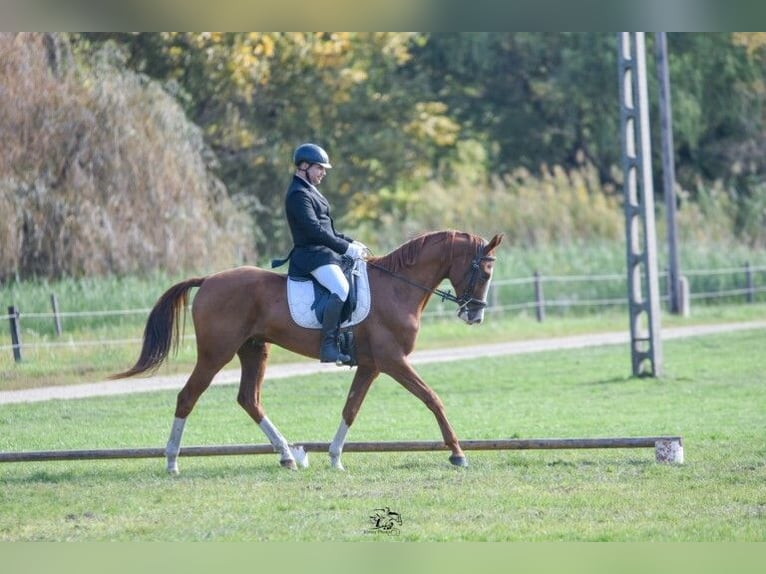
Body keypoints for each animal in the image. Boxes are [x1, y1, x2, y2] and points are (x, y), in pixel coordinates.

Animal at [112, 232, 504, 474]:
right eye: (485, 272)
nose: (476, 315)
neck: (397, 288)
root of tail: (208, 280)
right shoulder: (394, 362)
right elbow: (432, 398)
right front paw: (457, 454)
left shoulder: (372, 366)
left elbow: (351, 409)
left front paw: (335, 458)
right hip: (215, 353)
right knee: (187, 396)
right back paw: (172, 462)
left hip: (254, 350)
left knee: (249, 399)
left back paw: (287, 456)